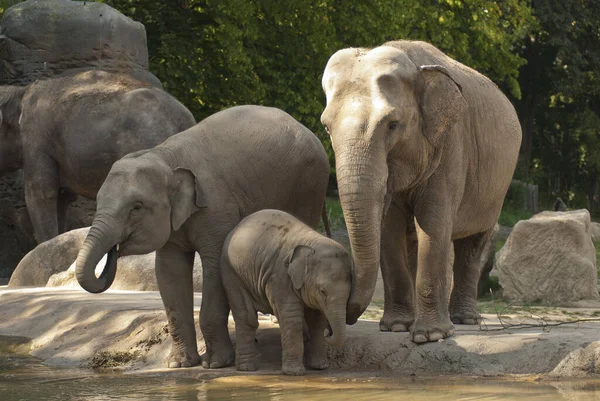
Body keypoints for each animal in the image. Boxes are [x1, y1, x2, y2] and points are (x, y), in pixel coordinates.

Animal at [75, 104, 330, 368]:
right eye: (97, 201)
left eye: (136, 207)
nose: (114, 251)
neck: (165, 157)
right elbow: (169, 270)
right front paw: (179, 364)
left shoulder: (216, 208)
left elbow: (214, 264)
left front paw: (215, 363)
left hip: (310, 186)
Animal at [220, 208, 352, 374]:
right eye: (323, 291)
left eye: (349, 294)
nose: (329, 334)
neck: (312, 242)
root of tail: (237, 226)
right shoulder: (280, 277)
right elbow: (291, 316)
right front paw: (295, 372)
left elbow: (317, 319)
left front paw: (319, 366)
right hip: (231, 274)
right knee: (247, 318)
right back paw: (247, 368)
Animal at [322, 39, 524, 340]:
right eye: (326, 127)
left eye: (392, 125)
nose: (331, 328)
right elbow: (390, 226)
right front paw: (396, 327)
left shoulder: (451, 144)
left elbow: (433, 221)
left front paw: (430, 336)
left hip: (497, 187)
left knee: (474, 243)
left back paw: (464, 320)